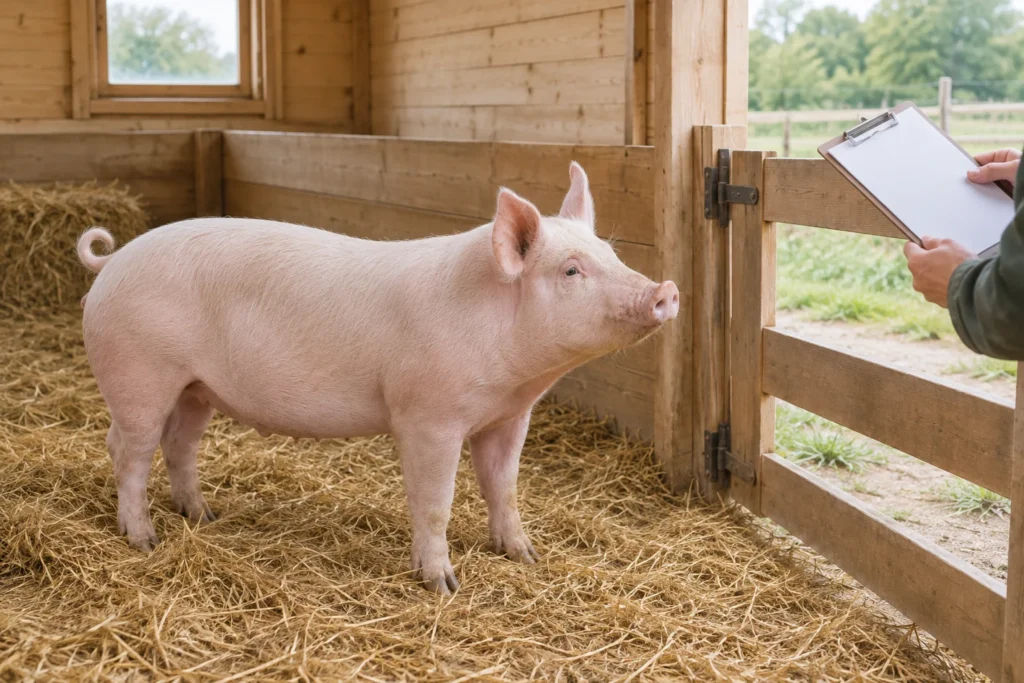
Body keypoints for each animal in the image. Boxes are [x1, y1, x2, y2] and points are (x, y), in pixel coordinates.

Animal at [76, 162, 679, 594]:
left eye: (610, 253)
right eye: (571, 270)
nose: (666, 289)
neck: (515, 377)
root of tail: (112, 262)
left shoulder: (509, 417)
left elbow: (503, 487)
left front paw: (525, 555)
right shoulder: (427, 415)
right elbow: (435, 500)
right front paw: (443, 585)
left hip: (194, 388)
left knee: (179, 444)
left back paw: (204, 515)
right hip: (139, 374)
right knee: (126, 449)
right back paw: (144, 541)